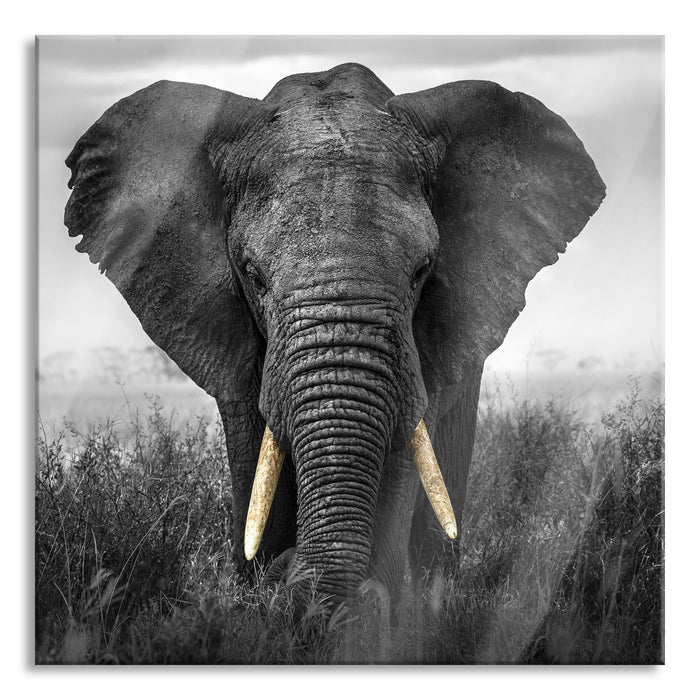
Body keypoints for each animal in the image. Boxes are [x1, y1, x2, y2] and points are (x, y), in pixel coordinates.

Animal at [64, 62, 605, 608]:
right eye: (253, 275)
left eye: (422, 272)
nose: (289, 573)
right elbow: (253, 454)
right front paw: (262, 592)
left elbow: (403, 452)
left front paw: (368, 608)